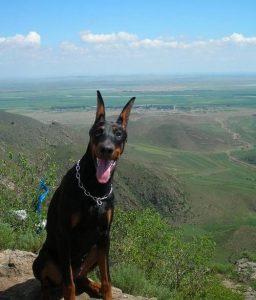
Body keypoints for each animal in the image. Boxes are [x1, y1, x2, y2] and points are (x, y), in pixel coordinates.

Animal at [33, 91, 136, 300]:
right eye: (97, 132)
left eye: (118, 133)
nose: (106, 149)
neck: (95, 190)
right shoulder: (64, 235)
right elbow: (69, 285)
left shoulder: (105, 236)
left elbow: (107, 280)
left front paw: (105, 292)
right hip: (43, 258)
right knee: (51, 281)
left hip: (95, 249)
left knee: (81, 276)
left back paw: (94, 286)